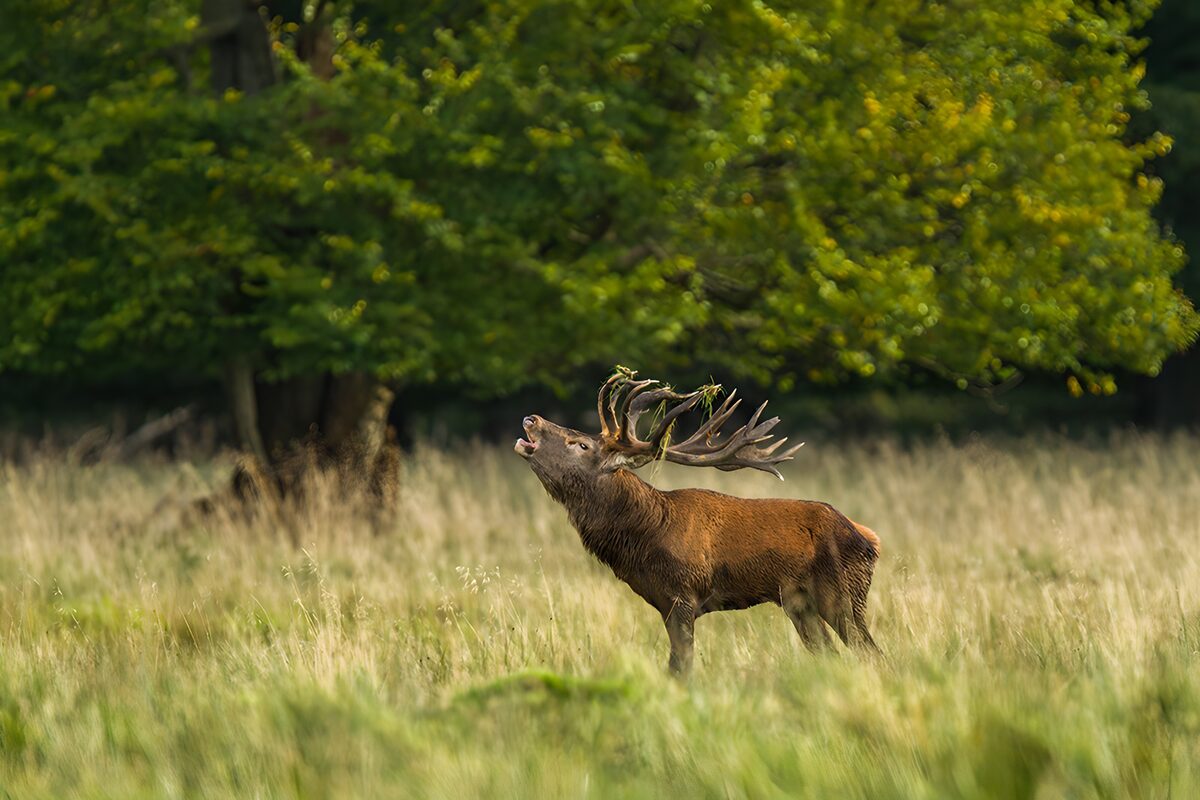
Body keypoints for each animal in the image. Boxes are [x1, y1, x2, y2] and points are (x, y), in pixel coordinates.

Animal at [514, 369, 881, 675]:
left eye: (581, 444)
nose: (531, 418)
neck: (645, 537)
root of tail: (870, 539)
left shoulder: (683, 594)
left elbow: (681, 666)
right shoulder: (663, 601)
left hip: (843, 593)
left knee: (871, 652)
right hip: (799, 602)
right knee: (831, 653)